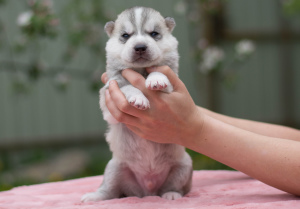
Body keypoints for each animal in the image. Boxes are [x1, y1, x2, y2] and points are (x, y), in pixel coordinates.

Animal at [81, 6, 192, 202]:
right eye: (125, 35)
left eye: (154, 33)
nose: (140, 47)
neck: (140, 70)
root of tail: (148, 191)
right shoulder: (109, 94)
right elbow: (127, 87)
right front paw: (138, 98)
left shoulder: (174, 84)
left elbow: (160, 72)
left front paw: (155, 80)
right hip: (114, 168)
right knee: (109, 190)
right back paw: (94, 197)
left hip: (184, 166)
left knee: (174, 185)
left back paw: (171, 194)